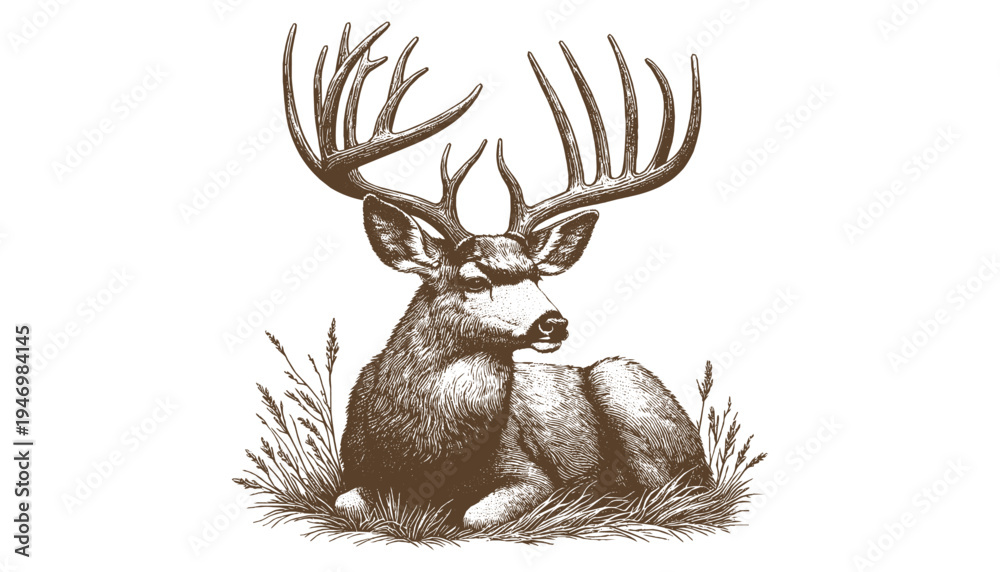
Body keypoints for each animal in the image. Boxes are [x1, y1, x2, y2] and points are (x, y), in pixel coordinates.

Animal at [282, 22, 709, 530]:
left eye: (536, 276)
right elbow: (347, 502)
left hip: (625, 383)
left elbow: (477, 516)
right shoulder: (357, 470)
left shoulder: (530, 473)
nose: (553, 322)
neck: (427, 455)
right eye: (473, 279)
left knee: (667, 491)